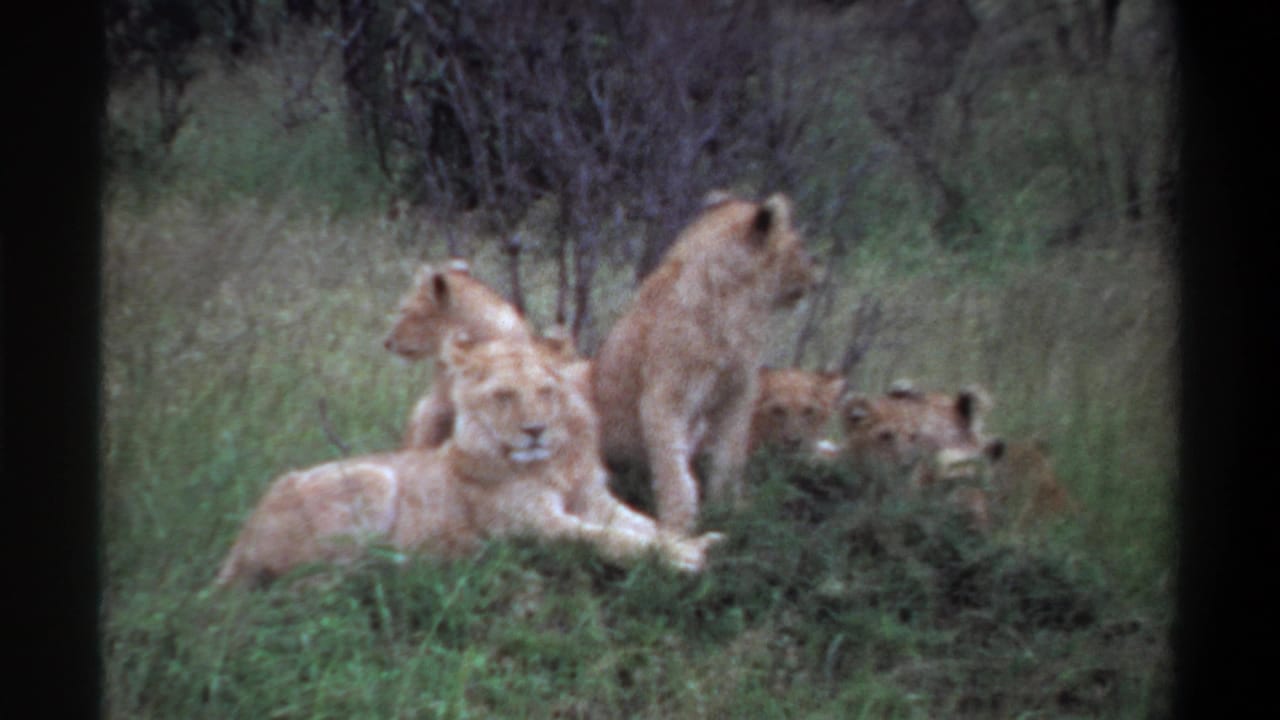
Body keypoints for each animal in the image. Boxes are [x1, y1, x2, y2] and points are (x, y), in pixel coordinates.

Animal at [216, 335, 721, 588]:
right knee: (322, 576)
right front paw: (683, 558)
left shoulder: (594, 500)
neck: (552, 463)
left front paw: (694, 541)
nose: (535, 430)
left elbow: (646, 525)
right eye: (503, 396)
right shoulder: (534, 526)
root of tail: (239, 542)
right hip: (372, 478)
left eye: (546, 391)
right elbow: (608, 539)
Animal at [592, 191, 819, 532]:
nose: (816, 275)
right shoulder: (666, 395)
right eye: (799, 245)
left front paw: (730, 508)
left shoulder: (738, 393)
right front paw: (679, 522)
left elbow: (730, 455)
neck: (738, 303)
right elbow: (673, 467)